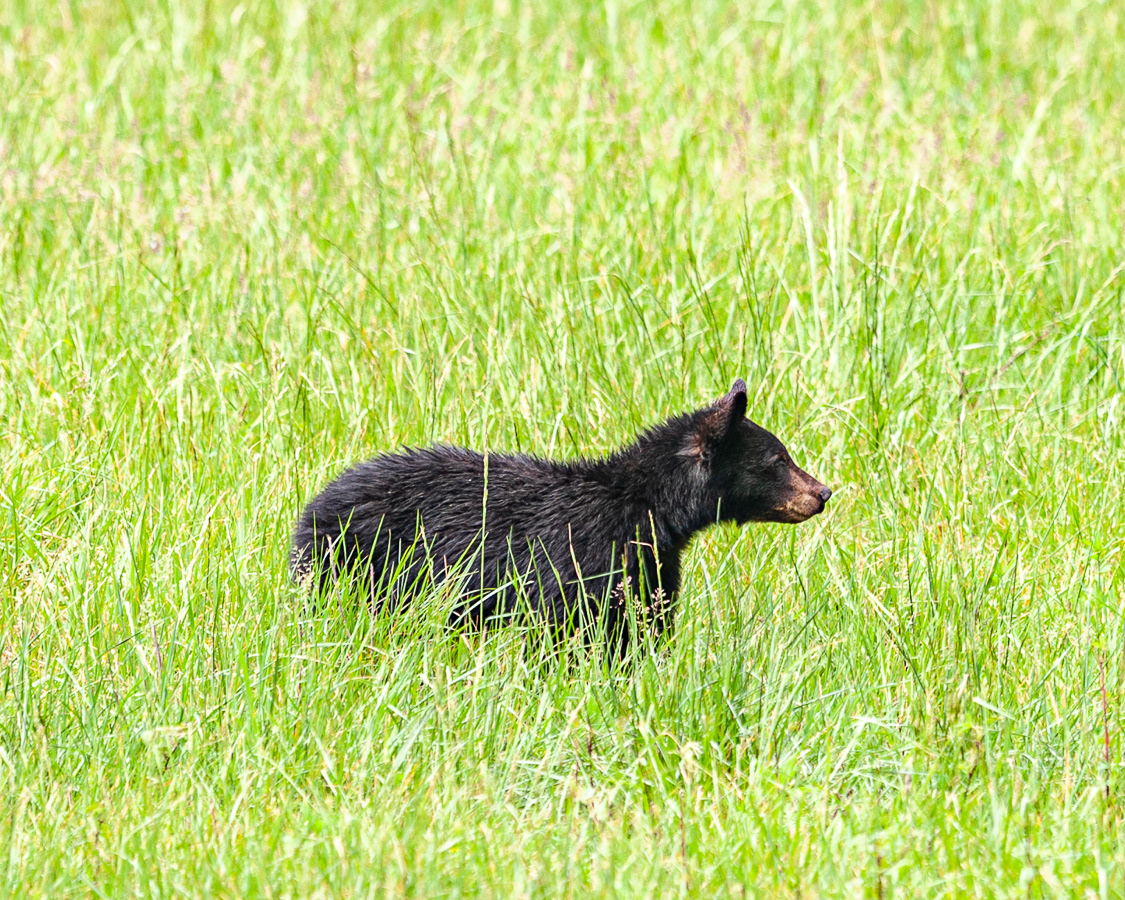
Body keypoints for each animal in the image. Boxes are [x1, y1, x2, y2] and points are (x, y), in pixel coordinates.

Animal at [291, 379, 832, 656]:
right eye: (778, 460)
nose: (823, 492)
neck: (648, 508)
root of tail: (313, 506)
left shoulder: (650, 564)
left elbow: (645, 622)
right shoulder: (580, 559)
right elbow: (570, 628)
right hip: (357, 566)